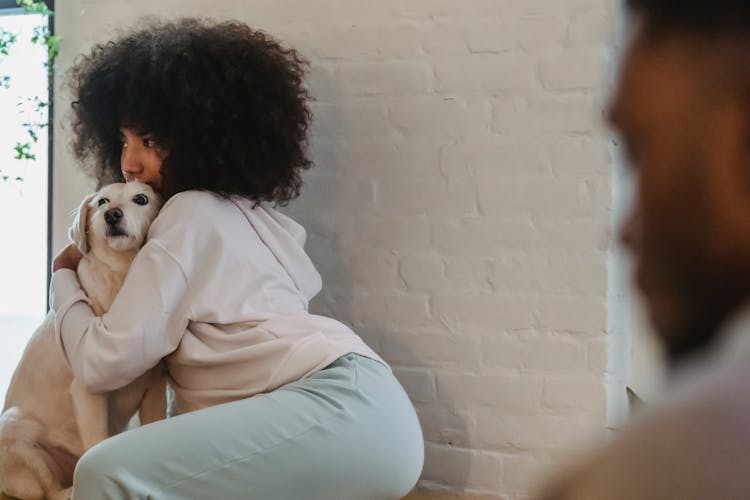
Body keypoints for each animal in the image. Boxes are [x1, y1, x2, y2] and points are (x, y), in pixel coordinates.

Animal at [0, 182, 166, 498]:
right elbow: (97, 444)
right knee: (50, 491)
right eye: (102, 202)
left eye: (141, 199)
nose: (112, 215)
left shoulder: (155, 389)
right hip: (14, 424)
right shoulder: (88, 395)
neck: (123, 276)